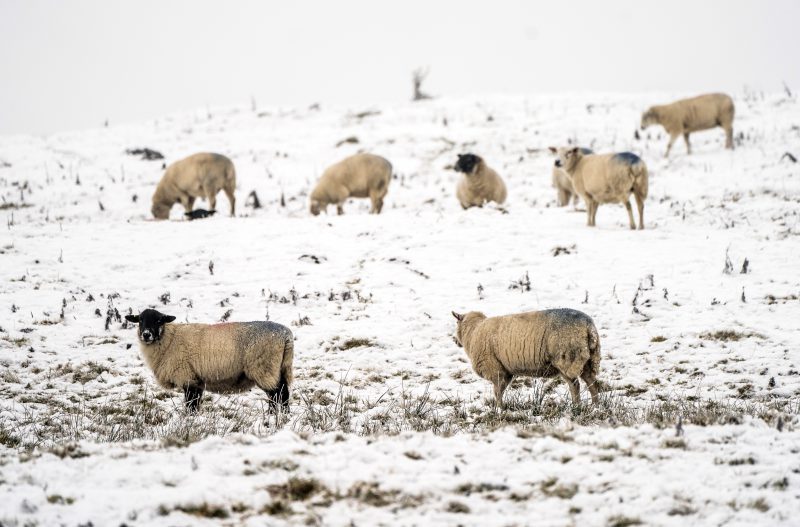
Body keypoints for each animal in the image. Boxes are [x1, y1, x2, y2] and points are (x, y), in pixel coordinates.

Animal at [126, 310, 296, 412]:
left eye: (159, 320)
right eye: (140, 320)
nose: (146, 334)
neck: (169, 340)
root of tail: (286, 335)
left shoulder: (187, 377)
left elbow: (191, 405)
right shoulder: (196, 380)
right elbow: (195, 404)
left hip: (265, 368)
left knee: (279, 394)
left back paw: (276, 416)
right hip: (279, 368)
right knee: (280, 394)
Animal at [450, 310, 600, 408]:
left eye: (456, 323)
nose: (454, 341)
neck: (473, 332)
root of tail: (588, 326)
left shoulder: (495, 369)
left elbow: (497, 392)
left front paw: (499, 409)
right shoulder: (506, 371)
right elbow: (501, 390)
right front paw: (501, 407)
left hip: (567, 359)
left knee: (575, 385)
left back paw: (576, 406)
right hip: (589, 359)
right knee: (591, 382)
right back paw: (595, 405)